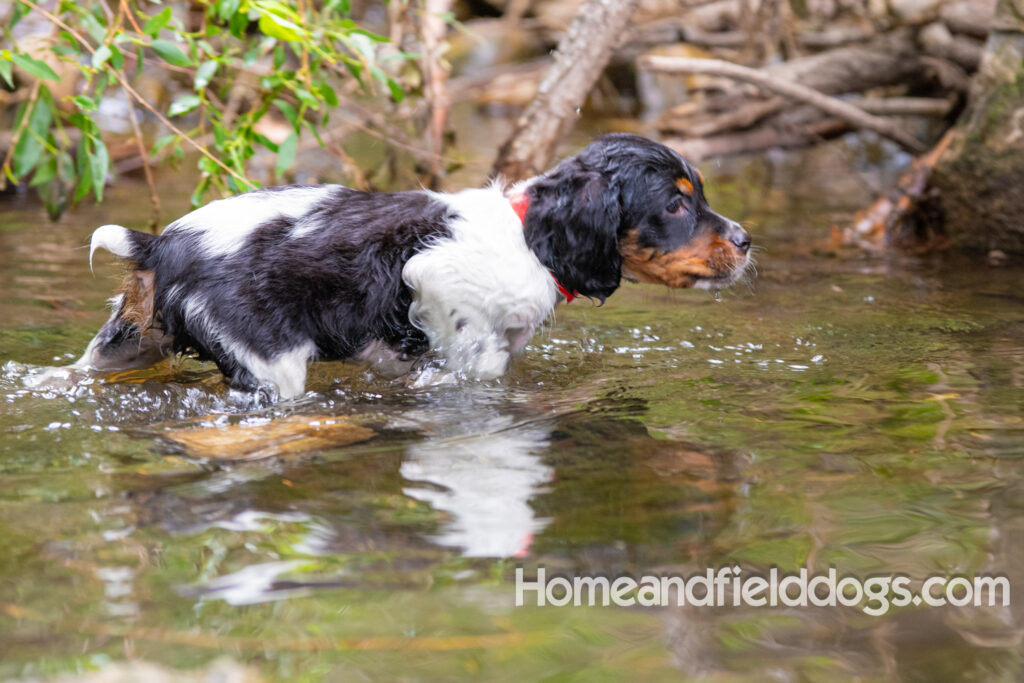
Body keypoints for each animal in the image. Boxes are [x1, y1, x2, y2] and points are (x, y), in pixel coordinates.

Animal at [75, 133, 753, 397]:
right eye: (674, 204)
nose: (746, 240)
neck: (531, 236)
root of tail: (161, 245)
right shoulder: (433, 280)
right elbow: (474, 357)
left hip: (124, 342)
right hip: (272, 363)